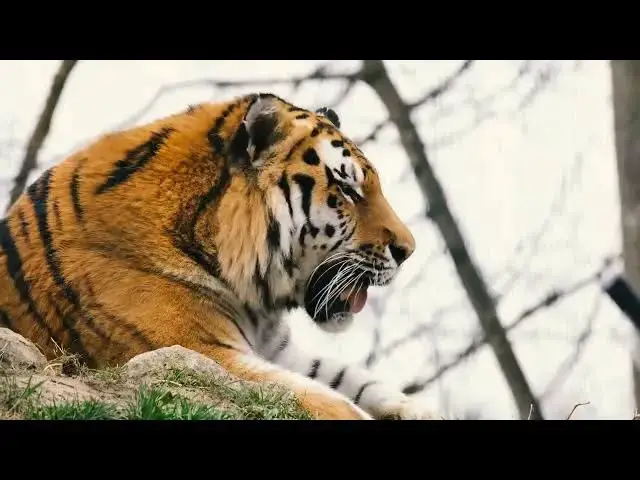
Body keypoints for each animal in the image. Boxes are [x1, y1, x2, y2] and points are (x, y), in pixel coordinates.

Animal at [0, 92, 441, 420]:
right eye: (348, 190)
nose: (408, 251)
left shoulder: (277, 349)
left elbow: (357, 381)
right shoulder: (197, 349)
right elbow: (327, 400)